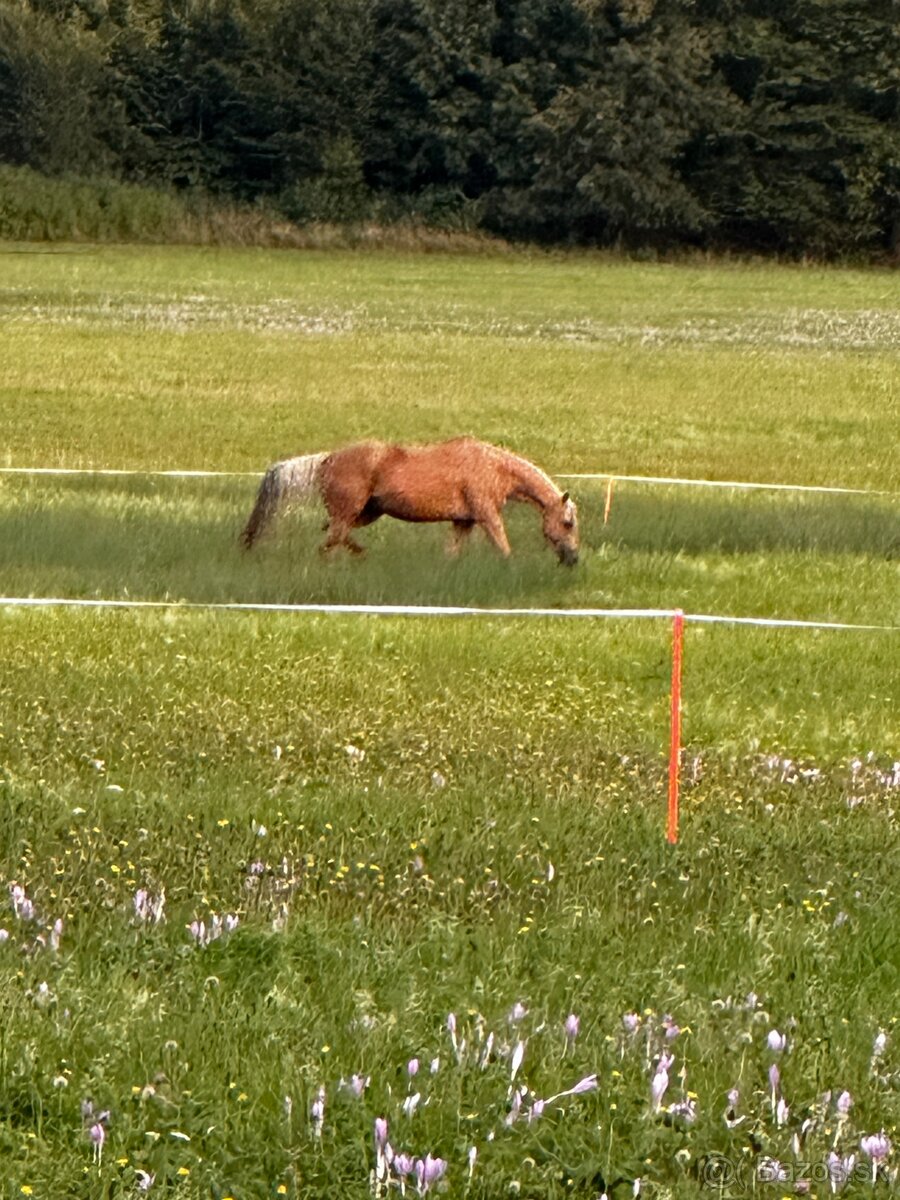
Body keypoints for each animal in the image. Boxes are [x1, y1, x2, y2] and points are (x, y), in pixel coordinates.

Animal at [241, 437, 580, 565]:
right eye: (567, 522)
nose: (572, 559)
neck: (493, 468)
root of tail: (327, 459)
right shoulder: (487, 516)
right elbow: (503, 547)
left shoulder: (463, 522)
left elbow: (451, 553)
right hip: (352, 512)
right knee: (332, 539)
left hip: (367, 513)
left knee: (334, 535)